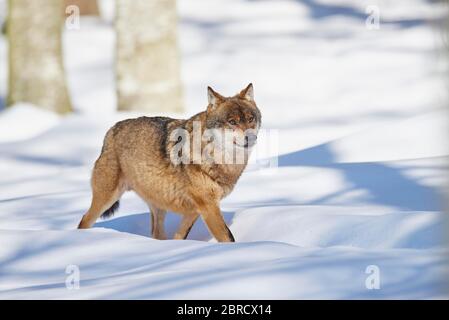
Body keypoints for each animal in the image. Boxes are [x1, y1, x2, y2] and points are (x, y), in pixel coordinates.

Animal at [76, 84, 260, 241]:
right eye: (232, 122)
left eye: (251, 118)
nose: (250, 137)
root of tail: (111, 130)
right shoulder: (208, 206)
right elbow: (228, 237)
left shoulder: (195, 210)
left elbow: (179, 236)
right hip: (106, 198)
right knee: (84, 221)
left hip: (158, 207)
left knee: (157, 234)